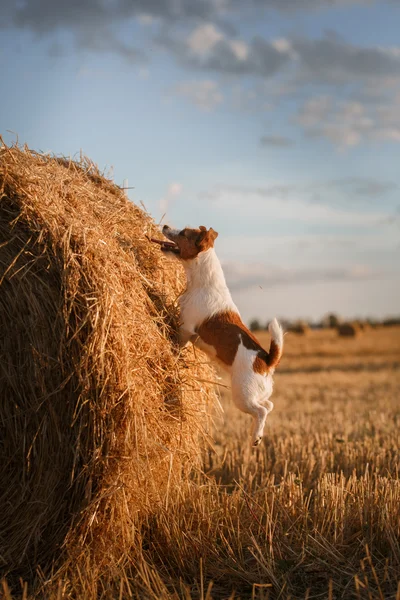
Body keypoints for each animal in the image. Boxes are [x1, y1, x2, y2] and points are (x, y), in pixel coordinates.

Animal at [155, 225, 282, 446]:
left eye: (183, 233)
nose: (165, 226)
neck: (203, 282)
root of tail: (267, 360)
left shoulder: (185, 329)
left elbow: (178, 343)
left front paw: (174, 354)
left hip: (243, 396)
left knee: (262, 410)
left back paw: (256, 436)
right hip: (255, 394)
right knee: (269, 405)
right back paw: (254, 431)